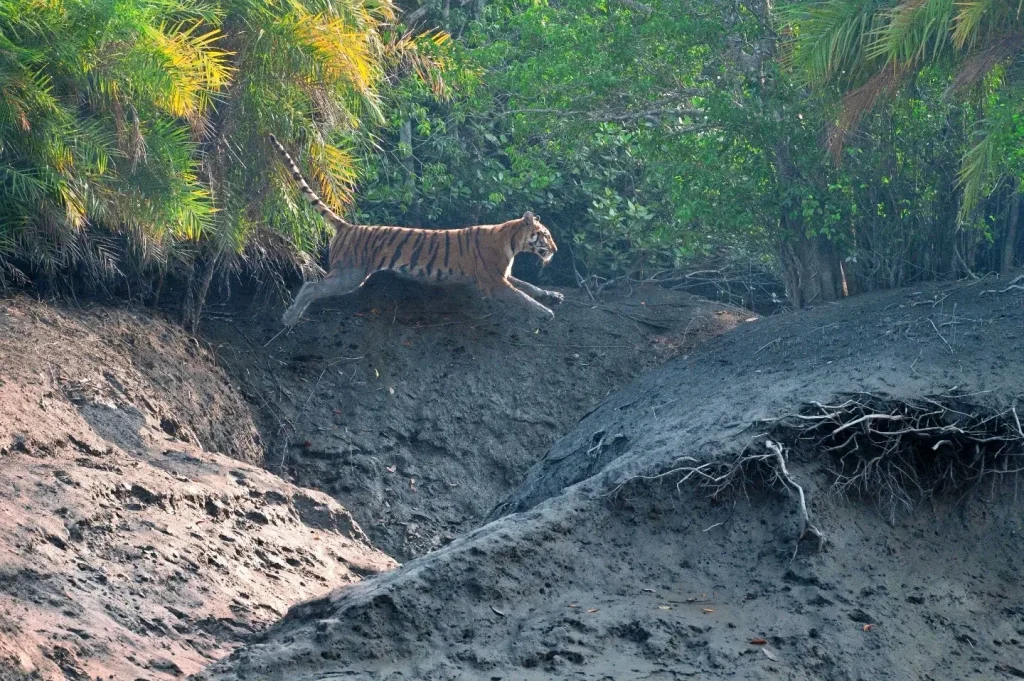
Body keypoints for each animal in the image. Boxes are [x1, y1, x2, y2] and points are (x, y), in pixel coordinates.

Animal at [268, 134, 564, 327]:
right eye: (546, 235)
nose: (556, 249)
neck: (513, 240)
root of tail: (348, 226)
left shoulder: (503, 275)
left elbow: (529, 286)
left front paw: (553, 296)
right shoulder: (493, 281)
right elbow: (522, 296)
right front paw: (544, 312)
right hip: (350, 274)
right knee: (311, 286)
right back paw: (289, 318)